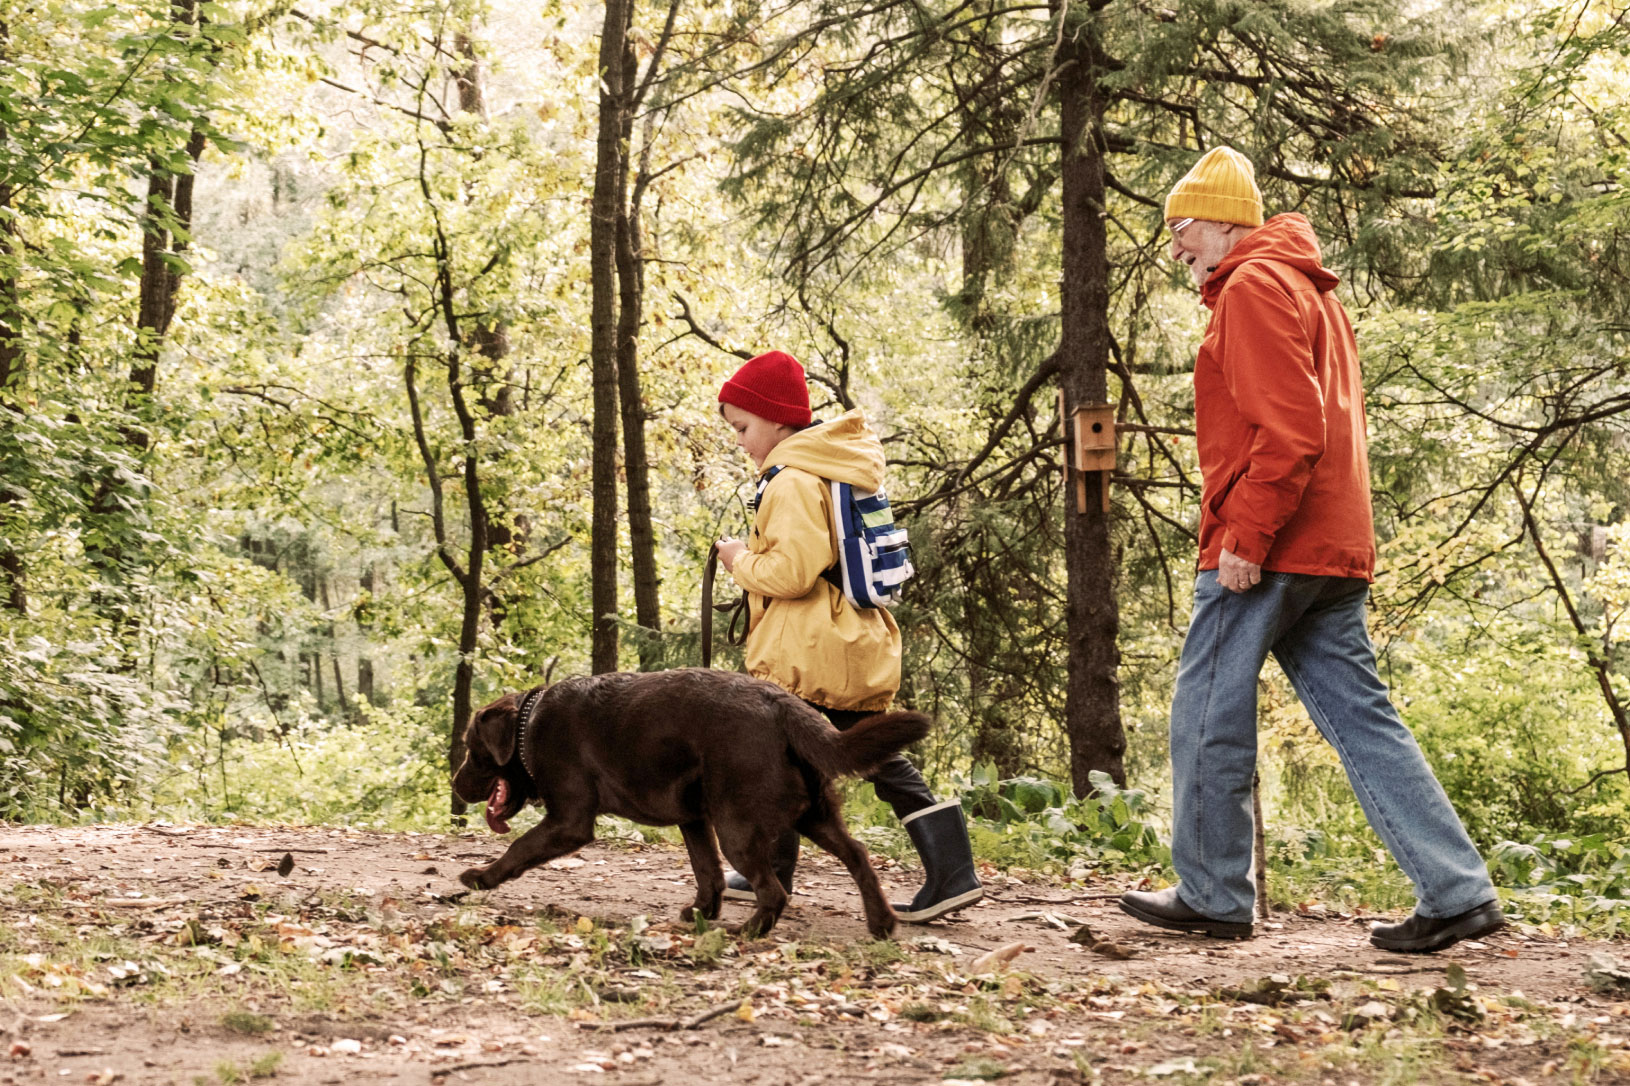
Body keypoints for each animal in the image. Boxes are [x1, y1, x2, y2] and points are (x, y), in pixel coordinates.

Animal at [449, 665, 932, 932]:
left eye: (473, 750)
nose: (455, 784)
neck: (529, 724)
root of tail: (782, 704)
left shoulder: (569, 820)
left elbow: (518, 847)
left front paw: (479, 877)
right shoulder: (694, 820)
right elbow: (706, 871)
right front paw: (703, 910)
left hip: (740, 827)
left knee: (774, 891)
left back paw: (749, 932)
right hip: (813, 814)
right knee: (858, 854)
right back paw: (881, 922)